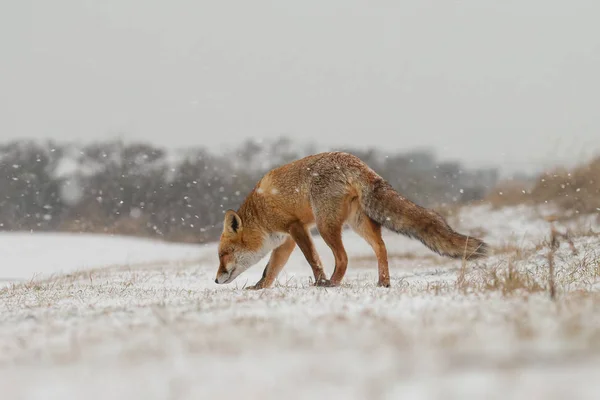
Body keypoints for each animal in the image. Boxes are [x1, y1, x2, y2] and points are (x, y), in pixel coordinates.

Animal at [216, 152, 488, 288]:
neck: (260, 213)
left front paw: (319, 280)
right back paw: (383, 283)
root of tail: (357, 162)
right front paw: (260, 288)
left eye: (223, 255)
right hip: (357, 222)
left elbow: (313, 260)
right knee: (381, 247)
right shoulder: (286, 240)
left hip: (325, 225)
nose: (216, 279)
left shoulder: (296, 227)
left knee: (343, 257)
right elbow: (270, 269)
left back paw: (331, 283)